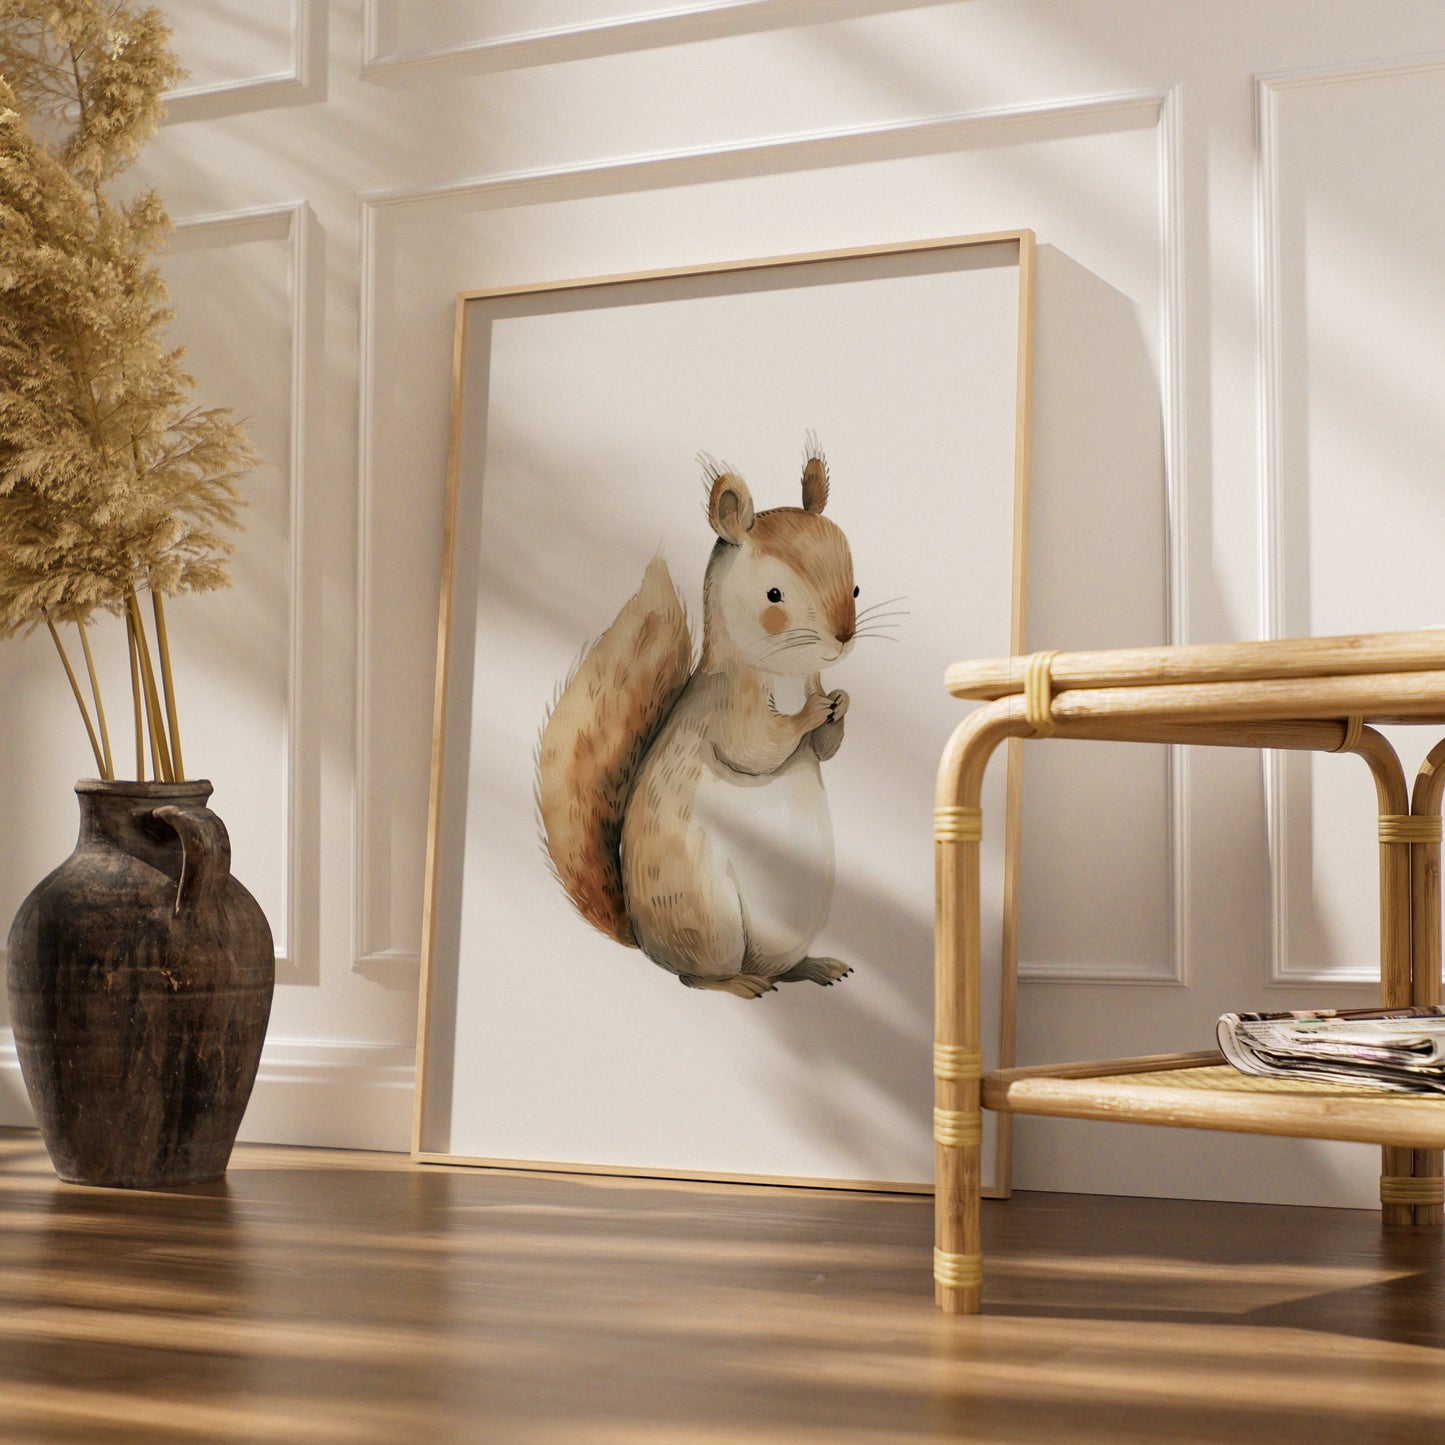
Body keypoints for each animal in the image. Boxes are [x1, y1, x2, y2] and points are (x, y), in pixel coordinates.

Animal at [536, 442, 859, 998]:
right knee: (695, 977)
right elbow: (757, 746)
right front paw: (812, 713)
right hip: (709, 919)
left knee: (778, 967)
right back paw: (739, 985)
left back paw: (814, 968)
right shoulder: (727, 710)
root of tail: (644, 941)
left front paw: (839, 703)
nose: (844, 636)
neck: (786, 676)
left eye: (856, 587)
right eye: (774, 595)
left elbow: (824, 748)